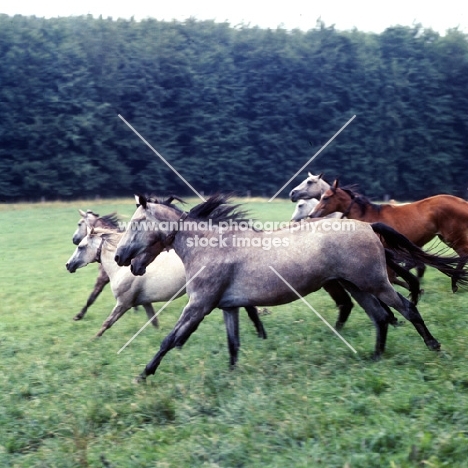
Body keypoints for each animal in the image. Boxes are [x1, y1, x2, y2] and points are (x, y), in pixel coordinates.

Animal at [112, 194, 464, 380]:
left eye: (135, 224)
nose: (119, 257)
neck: (211, 247)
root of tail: (368, 226)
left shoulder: (198, 305)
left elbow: (169, 339)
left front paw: (144, 373)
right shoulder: (228, 307)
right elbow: (233, 344)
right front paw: (232, 375)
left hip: (374, 283)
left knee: (406, 308)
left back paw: (433, 345)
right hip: (359, 287)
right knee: (381, 318)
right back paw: (375, 358)